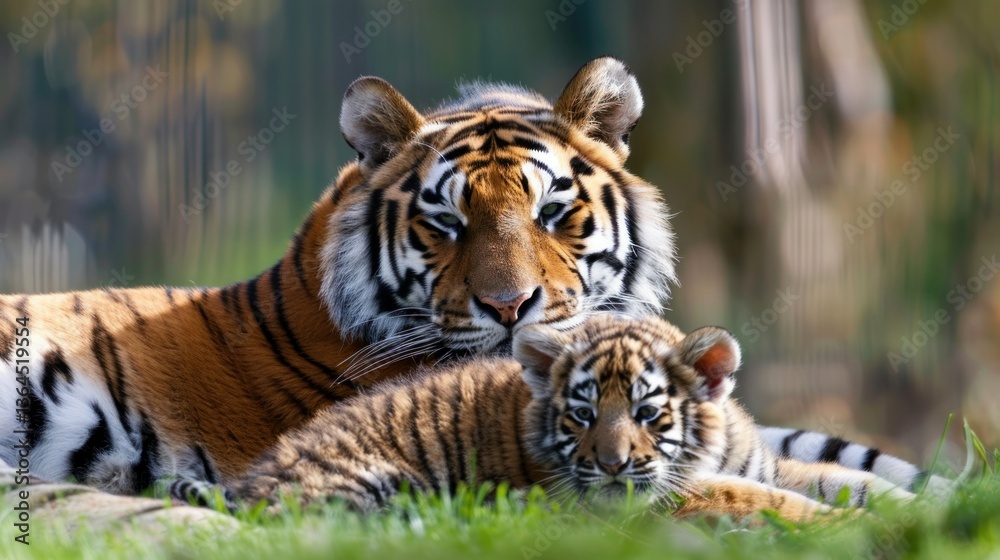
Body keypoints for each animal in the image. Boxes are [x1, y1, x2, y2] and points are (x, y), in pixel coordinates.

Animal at [232, 314, 918, 521]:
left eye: (647, 412)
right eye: (582, 415)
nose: (611, 467)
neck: (709, 450)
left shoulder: (761, 464)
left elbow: (844, 478)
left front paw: (924, 506)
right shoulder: (676, 495)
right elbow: (769, 501)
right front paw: (846, 528)